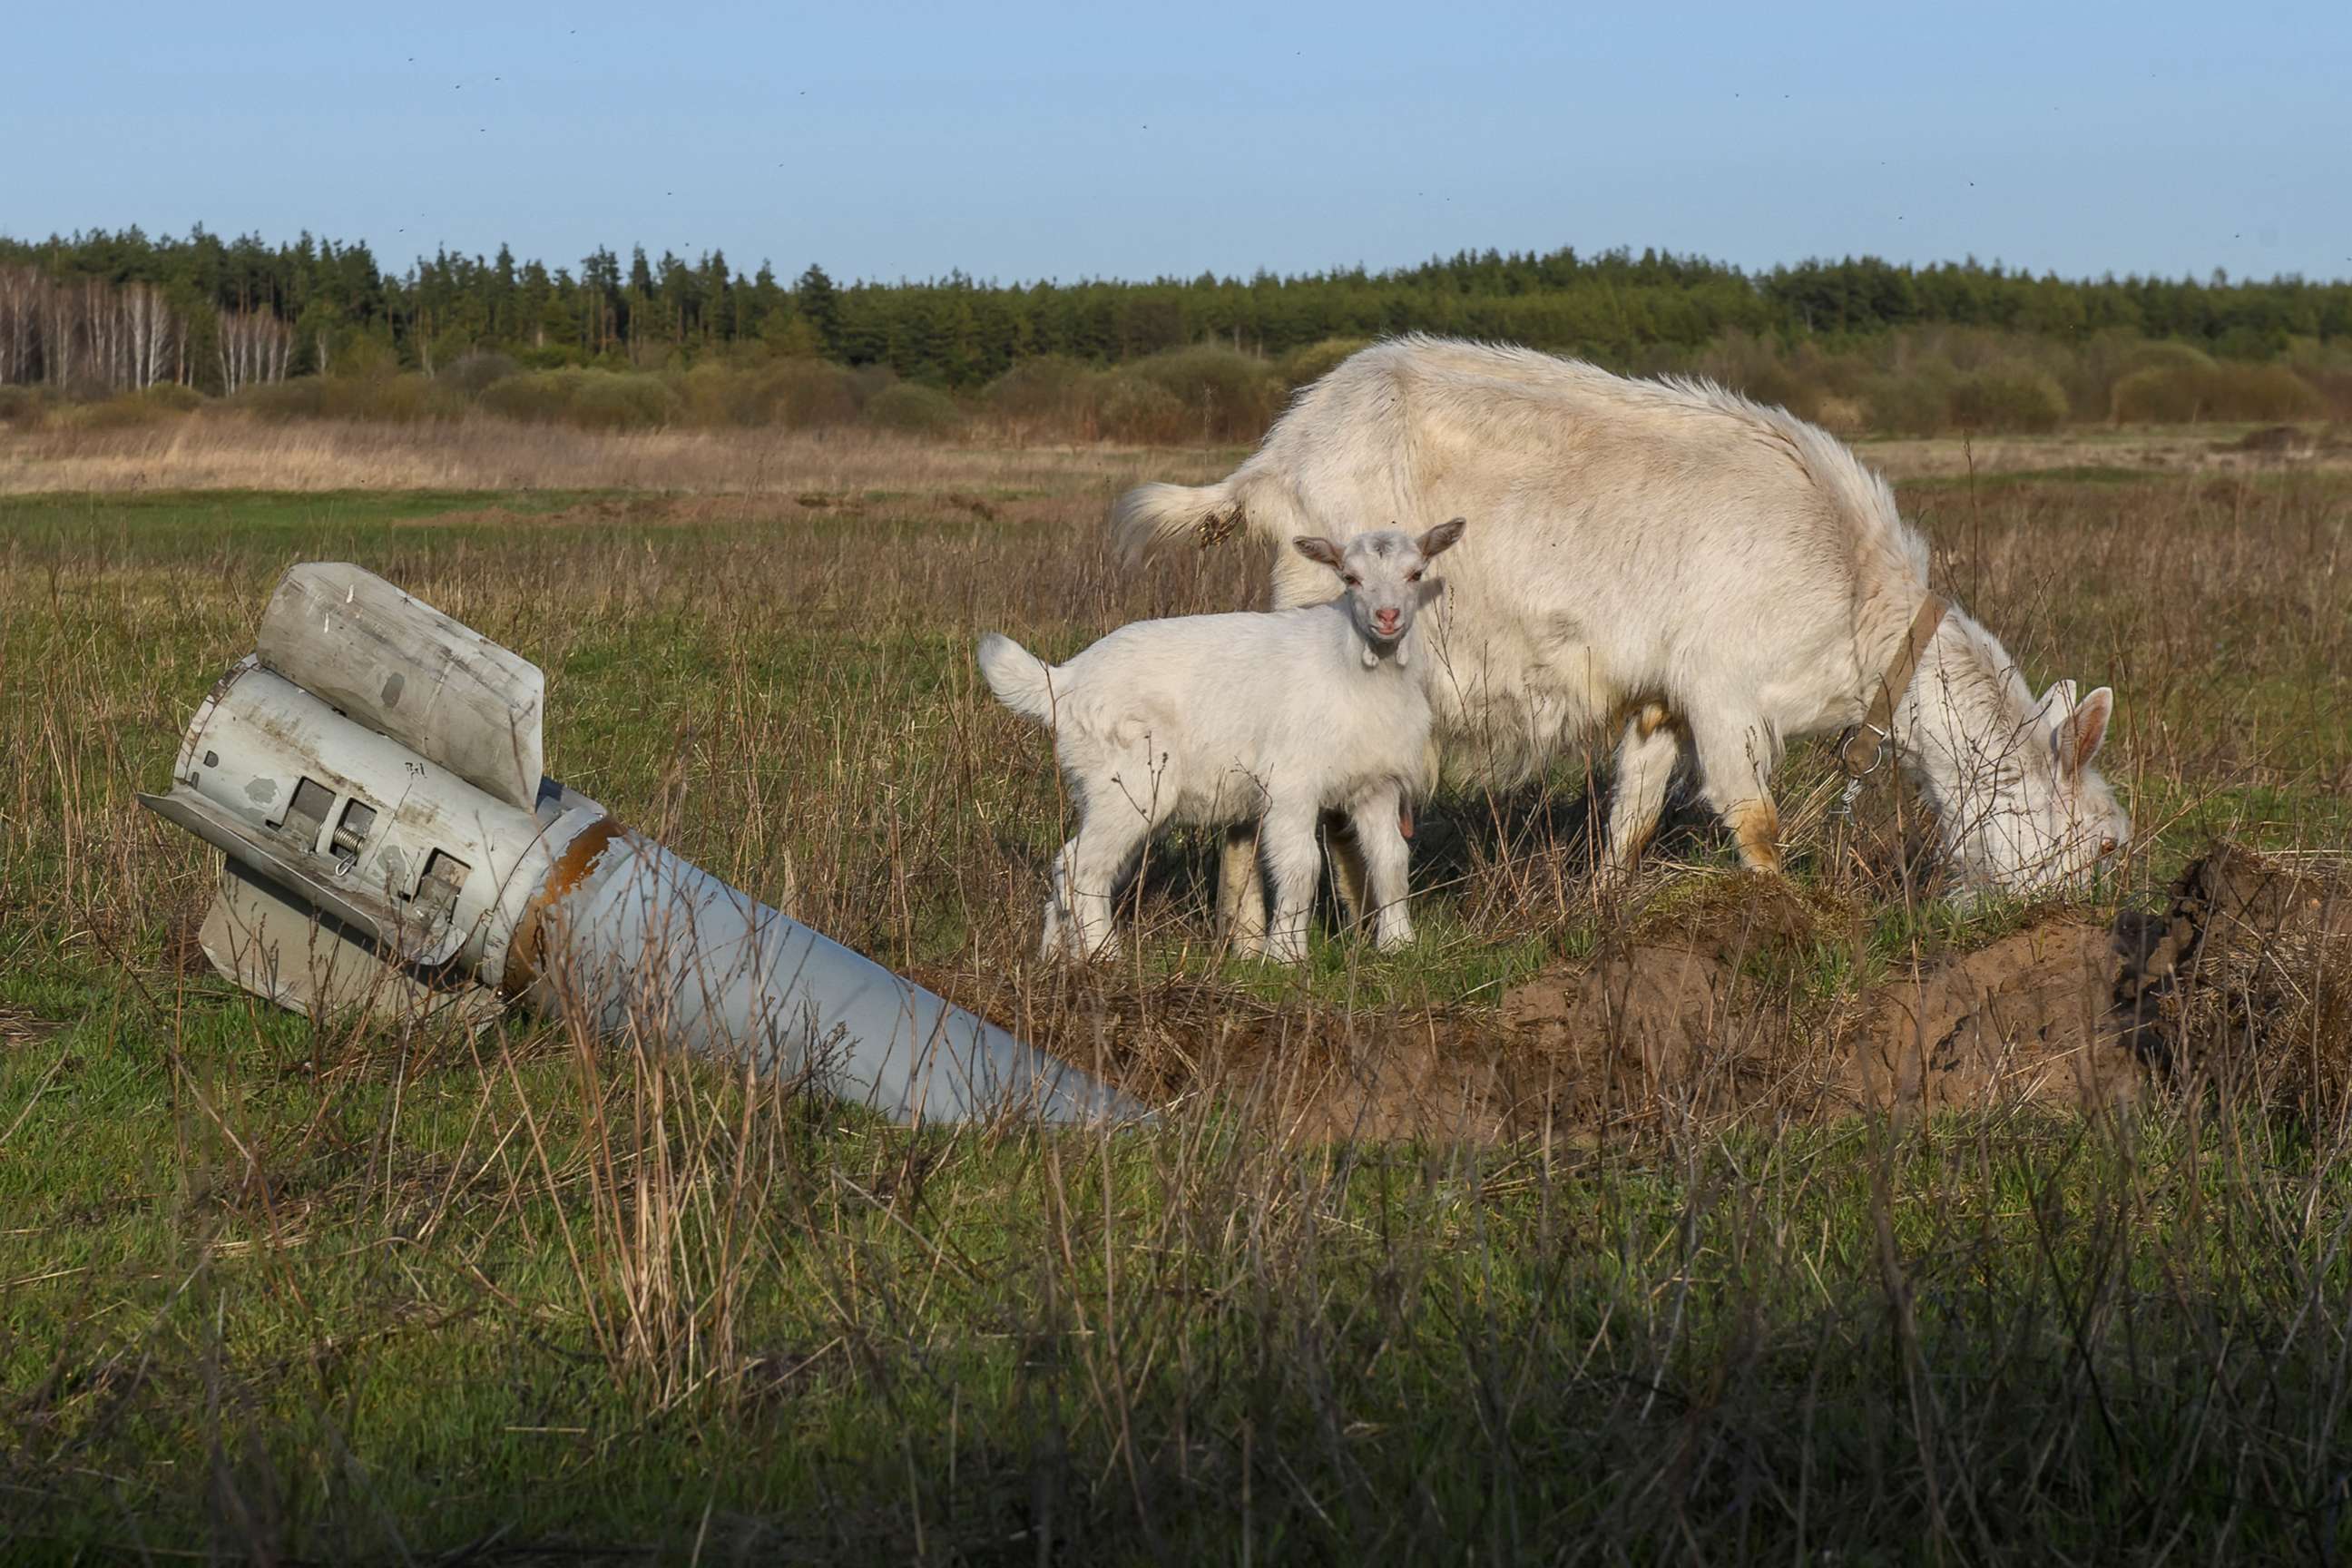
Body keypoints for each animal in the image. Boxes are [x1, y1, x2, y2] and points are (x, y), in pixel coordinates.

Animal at [1110, 331, 2126, 930]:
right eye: (2105, 845)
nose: (2067, 922)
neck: (1858, 596)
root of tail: (1274, 462)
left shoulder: (1661, 699)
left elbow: (1632, 815)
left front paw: (1603, 913)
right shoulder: (1723, 688)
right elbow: (1754, 819)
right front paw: (1791, 917)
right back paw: (1279, 936)